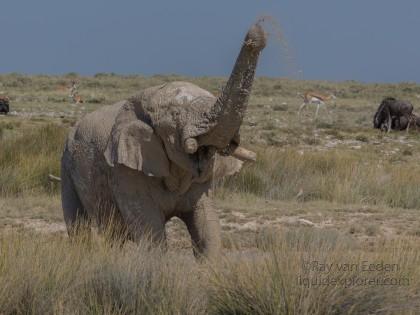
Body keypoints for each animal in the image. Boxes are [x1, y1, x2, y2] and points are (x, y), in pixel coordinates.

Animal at [60, 21, 268, 260]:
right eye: (176, 115)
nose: (257, 33)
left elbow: (207, 224)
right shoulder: (124, 170)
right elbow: (150, 231)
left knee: (115, 234)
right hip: (66, 166)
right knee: (79, 226)